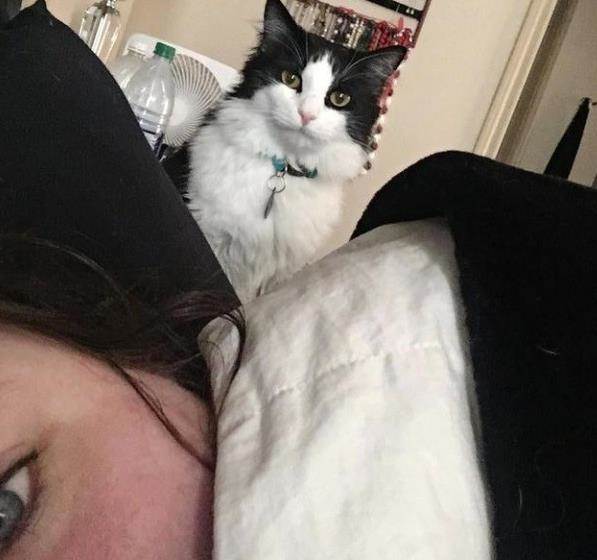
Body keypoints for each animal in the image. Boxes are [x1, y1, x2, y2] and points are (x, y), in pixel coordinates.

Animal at [186, 0, 406, 303]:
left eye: (339, 98)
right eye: (290, 79)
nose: (306, 114)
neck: (285, 169)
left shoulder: (282, 273)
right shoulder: (210, 239)